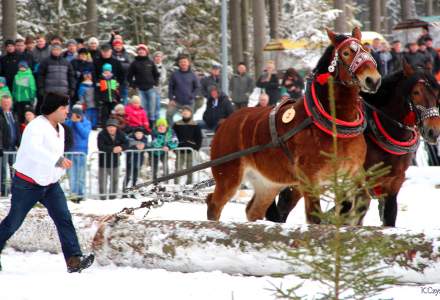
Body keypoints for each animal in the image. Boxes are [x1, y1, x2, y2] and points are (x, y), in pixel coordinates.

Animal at [206, 28, 382, 224]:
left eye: (366, 49)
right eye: (345, 53)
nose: (373, 80)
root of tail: (226, 123)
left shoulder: (352, 172)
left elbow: (361, 202)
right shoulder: (310, 180)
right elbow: (315, 217)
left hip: (268, 183)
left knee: (253, 210)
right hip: (228, 176)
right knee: (214, 204)